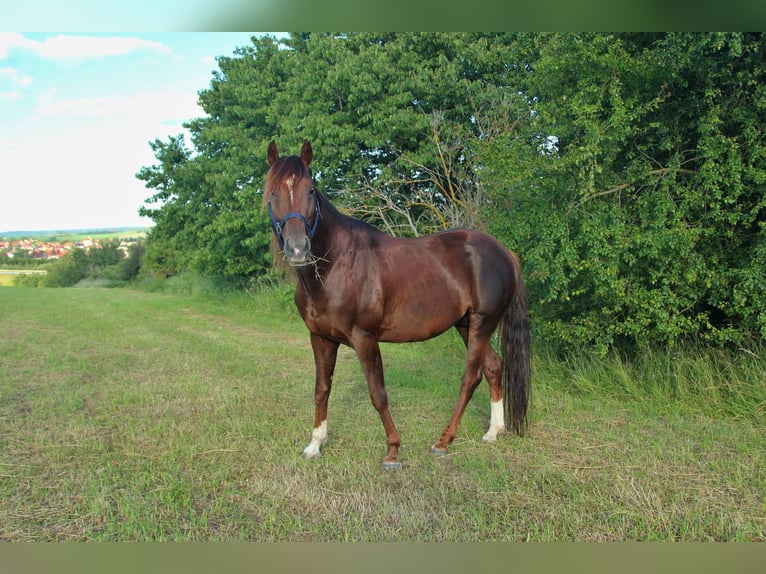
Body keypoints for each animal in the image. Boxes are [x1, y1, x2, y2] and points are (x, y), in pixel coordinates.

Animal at [262, 142, 528, 470]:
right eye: (273, 192)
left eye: (310, 189)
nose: (298, 249)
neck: (336, 264)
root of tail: (503, 251)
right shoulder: (320, 338)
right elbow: (321, 389)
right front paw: (315, 444)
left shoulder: (364, 338)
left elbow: (378, 393)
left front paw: (392, 450)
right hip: (466, 324)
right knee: (492, 367)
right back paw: (493, 431)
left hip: (483, 322)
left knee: (471, 377)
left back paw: (443, 441)